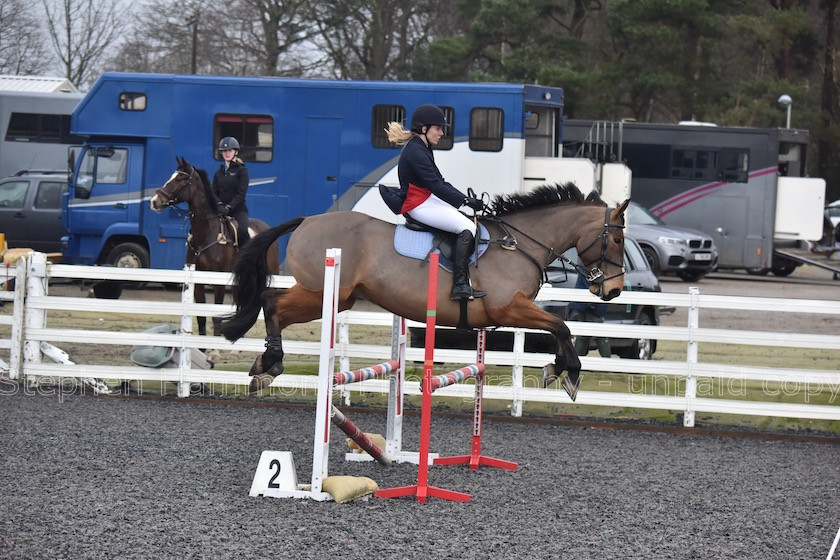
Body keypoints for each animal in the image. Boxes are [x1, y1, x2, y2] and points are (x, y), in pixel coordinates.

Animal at [149, 155, 280, 344]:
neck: (207, 234)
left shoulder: (218, 282)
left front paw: (215, 348)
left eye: (180, 179)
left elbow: (216, 315)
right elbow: (201, 316)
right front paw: (204, 347)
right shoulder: (198, 282)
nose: (154, 201)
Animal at [220, 186, 628, 400]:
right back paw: (270, 365)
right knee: (271, 304)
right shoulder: (509, 308)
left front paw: (557, 368)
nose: (613, 289)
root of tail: (307, 220)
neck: (519, 244)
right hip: (324, 292)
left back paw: (263, 367)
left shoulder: (514, 311)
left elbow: (559, 328)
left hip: (337, 298)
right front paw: (568, 373)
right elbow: (561, 326)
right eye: (618, 240)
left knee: (273, 306)